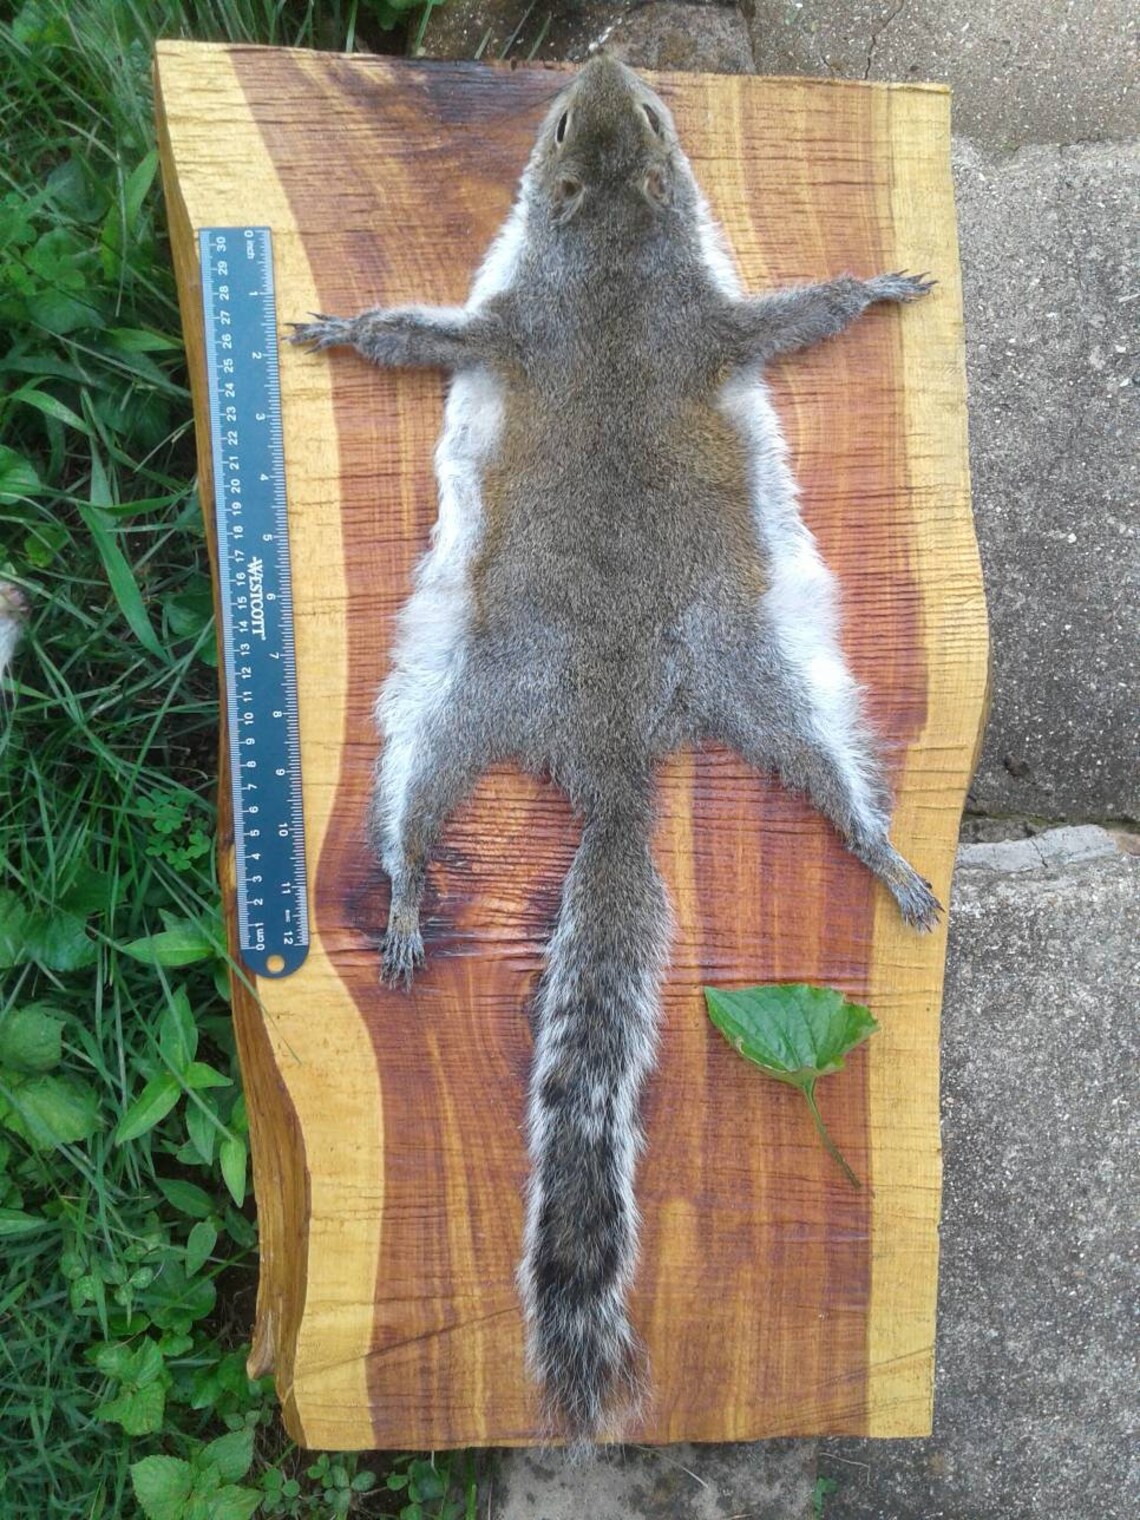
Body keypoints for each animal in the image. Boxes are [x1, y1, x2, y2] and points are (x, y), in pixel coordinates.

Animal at [289, 53, 940, 1444]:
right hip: (488, 692)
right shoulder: (536, 326)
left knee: (817, 773)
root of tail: (617, 762)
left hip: (713, 676)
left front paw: (874, 288)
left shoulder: (674, 325)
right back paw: (412, 897)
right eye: (565, 126)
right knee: (423, 805)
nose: (603, 56)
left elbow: (798, 316)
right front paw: (337, 329)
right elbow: (421, 337)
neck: (617, 264)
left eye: (637, 120)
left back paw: (879, 853)